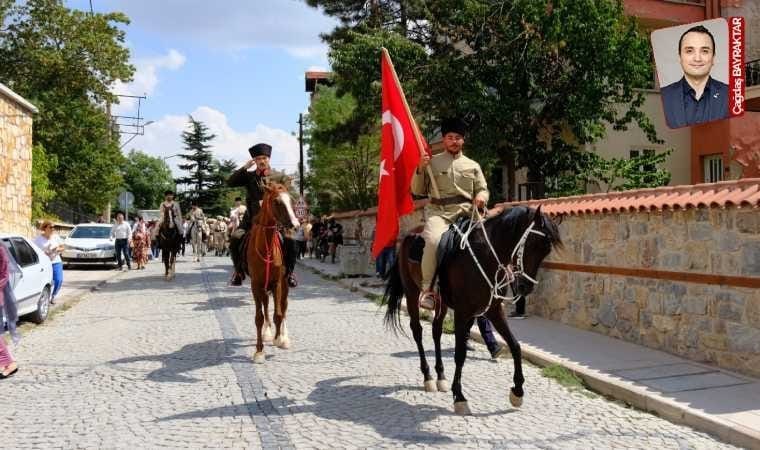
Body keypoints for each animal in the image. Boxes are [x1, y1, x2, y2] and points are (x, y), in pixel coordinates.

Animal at [246, 181, 300, 364]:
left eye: (291, 201)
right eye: (277, 202)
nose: (296, 225)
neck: (266, 246)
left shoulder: (277, 282)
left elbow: (278, 313)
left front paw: (279, 339)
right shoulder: (256, 285)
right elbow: (259, 317)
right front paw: (259, 351)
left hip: (285, 284)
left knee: (283, 307)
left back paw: (284, 337)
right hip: (264, 287)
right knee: (266, 305)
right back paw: (268, 332)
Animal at [382, 206, 560, 414]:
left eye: (546, 250)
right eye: (532, 244)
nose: (525, 287)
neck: (486, 257)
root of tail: (409, 236)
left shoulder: (493, 310)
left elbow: (515, 346)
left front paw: (517, 391)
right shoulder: (462, 312)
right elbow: (460, 353)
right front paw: (459, 397)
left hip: (441, 303)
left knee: (436, 331)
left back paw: (441, 376)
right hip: (411, 293)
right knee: (417, 331)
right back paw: (428, 378)